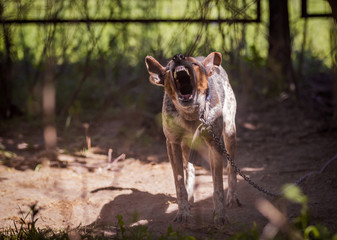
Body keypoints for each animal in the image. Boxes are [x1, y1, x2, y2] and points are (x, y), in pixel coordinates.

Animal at [144, 52, 239, 225]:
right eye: (168, 67)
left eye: (195, 64)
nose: (178, 57)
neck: (191, 115)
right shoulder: (172, 143)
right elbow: (179, 183)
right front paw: (183, 212)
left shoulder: (215, 144)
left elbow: (218, 186)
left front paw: (220, 215)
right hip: (186, 144)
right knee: (189, 168)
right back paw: (190, 197)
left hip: (229, 132)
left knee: (231, 168)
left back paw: (232, 197)